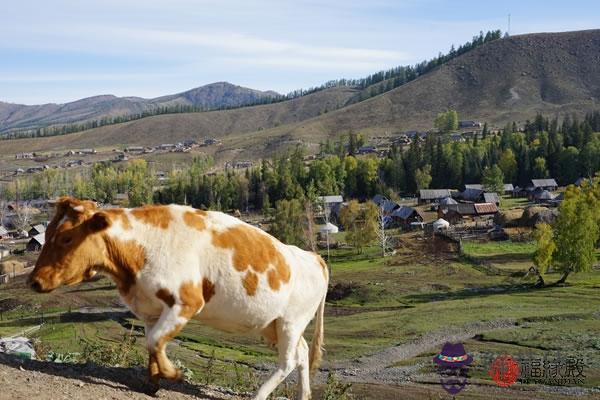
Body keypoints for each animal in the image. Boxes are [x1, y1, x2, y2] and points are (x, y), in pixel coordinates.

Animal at [28, 198, 328, 400]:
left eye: (66, 238)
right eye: (47, 233)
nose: (34, 281)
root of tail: (312, 256)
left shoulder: (186, 303)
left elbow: (155, 341)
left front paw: (173, 374)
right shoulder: (149, 309)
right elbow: (151, 343)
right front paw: (153, 382)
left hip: (291, 321)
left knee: (288, 361)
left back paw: (259, 395)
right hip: (272, 324)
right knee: (302, 353)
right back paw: (303, 395)